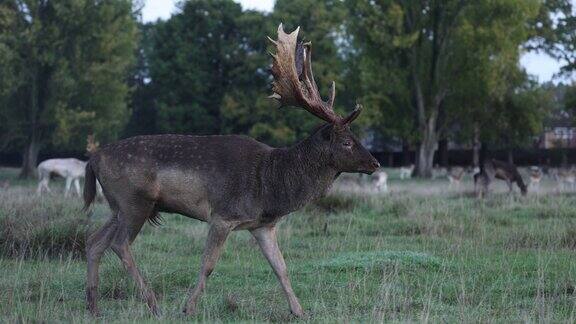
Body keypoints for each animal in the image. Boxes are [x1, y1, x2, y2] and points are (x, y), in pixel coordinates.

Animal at [81, 24, 378, 318]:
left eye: (355, 136)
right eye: (347, 141)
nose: (375, 163)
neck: (270, 185)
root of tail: (93, 159)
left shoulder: (263, 225)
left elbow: (281, 268)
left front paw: (299, 311)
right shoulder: (223, 215)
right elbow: (208, 265)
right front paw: (188, 308)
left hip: (118, 206)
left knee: (94, 241)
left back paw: (94, 307)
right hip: (134, 201)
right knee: (119, 244)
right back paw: (153, 304)